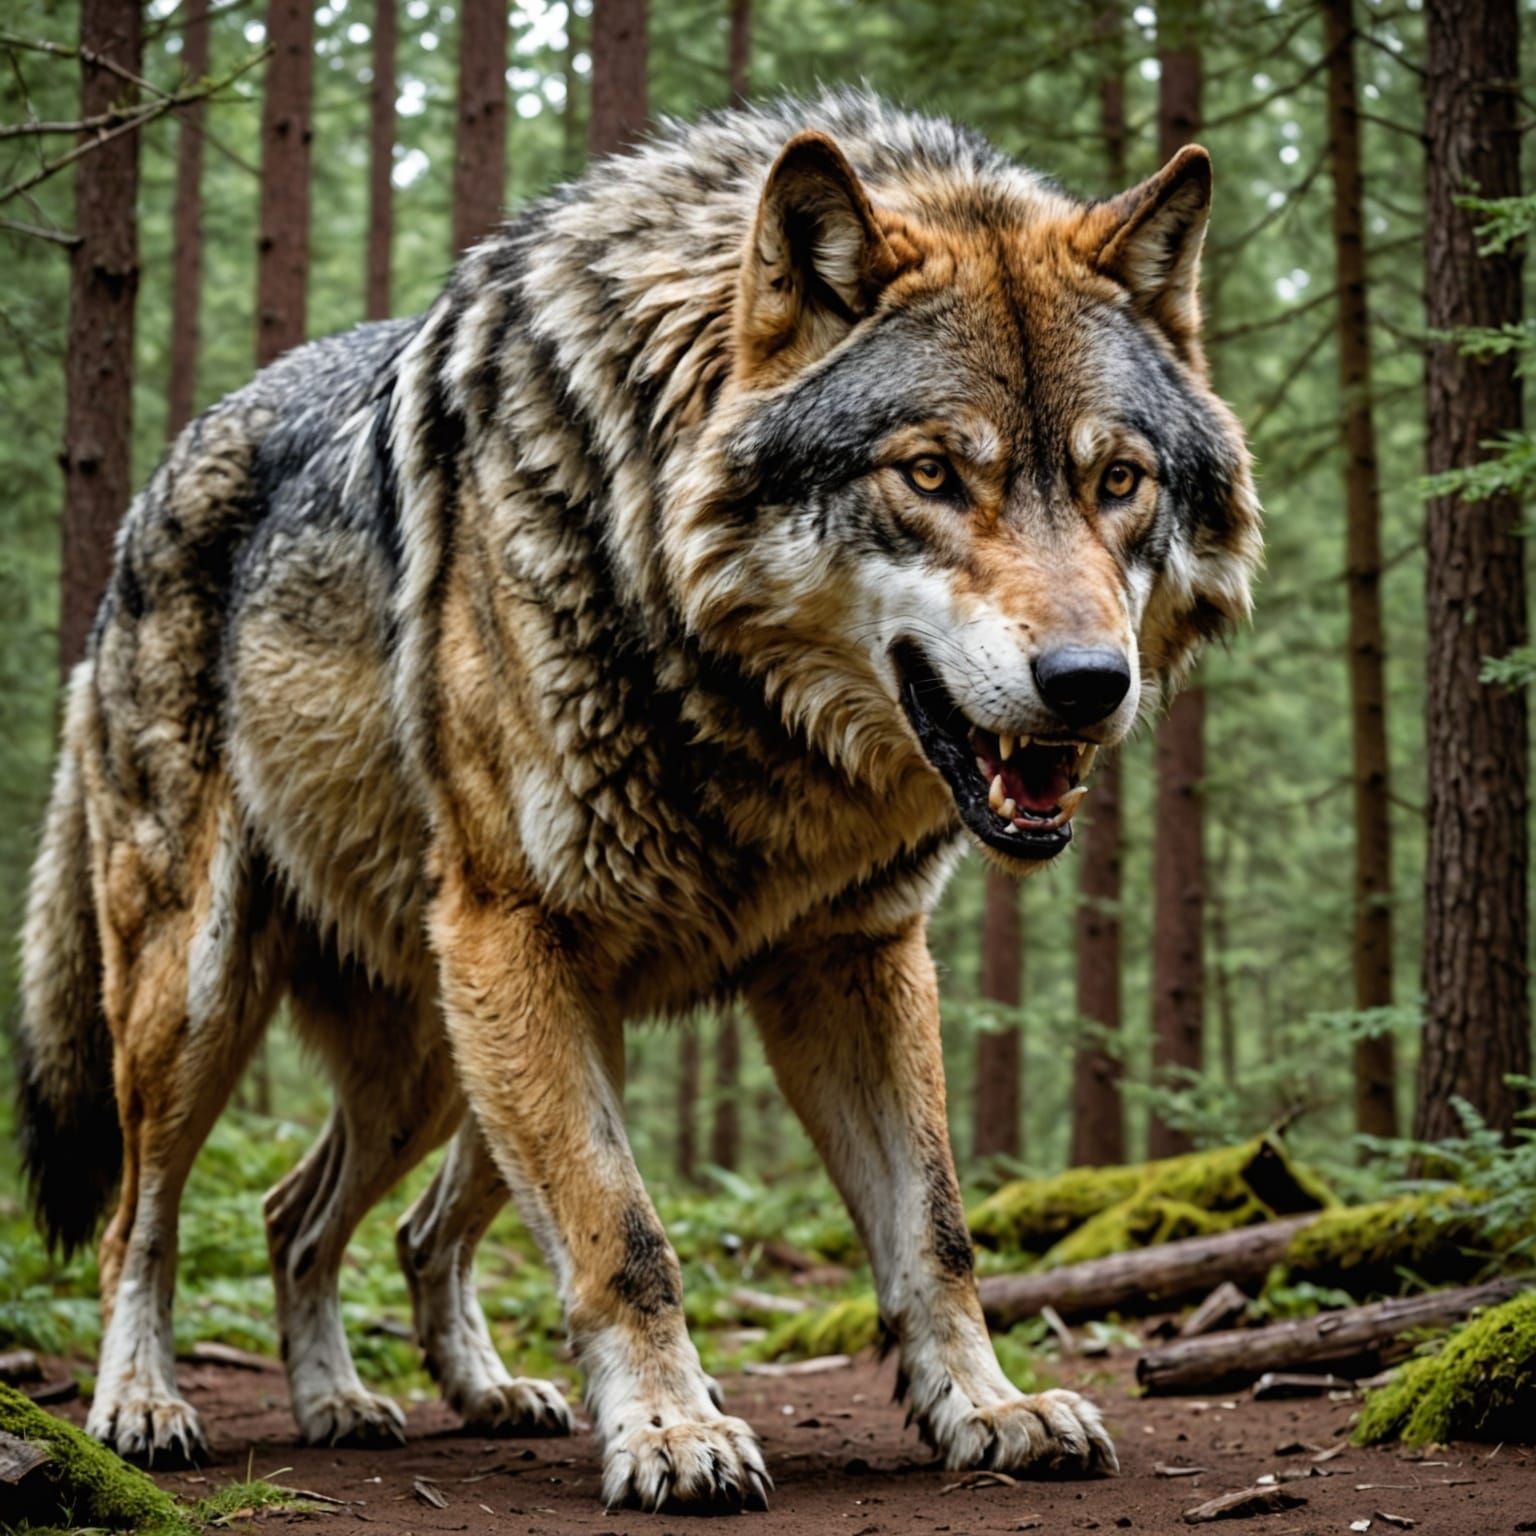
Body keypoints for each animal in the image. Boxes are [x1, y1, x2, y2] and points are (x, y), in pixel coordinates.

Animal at [18, 91, 1259, 1512]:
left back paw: (386, 1399)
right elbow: (626, 1234)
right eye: (934, 474)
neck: (740, 719)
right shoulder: (519, 936)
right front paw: (671, 1431)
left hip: (446, 1062)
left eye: (1119, 481)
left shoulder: (857, 958)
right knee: (143, 1218)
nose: (1090, 684)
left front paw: (986, 1409)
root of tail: (143, 511)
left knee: (321, 1219)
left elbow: (936, 1233)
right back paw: (142, 1403)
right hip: (216, 999)